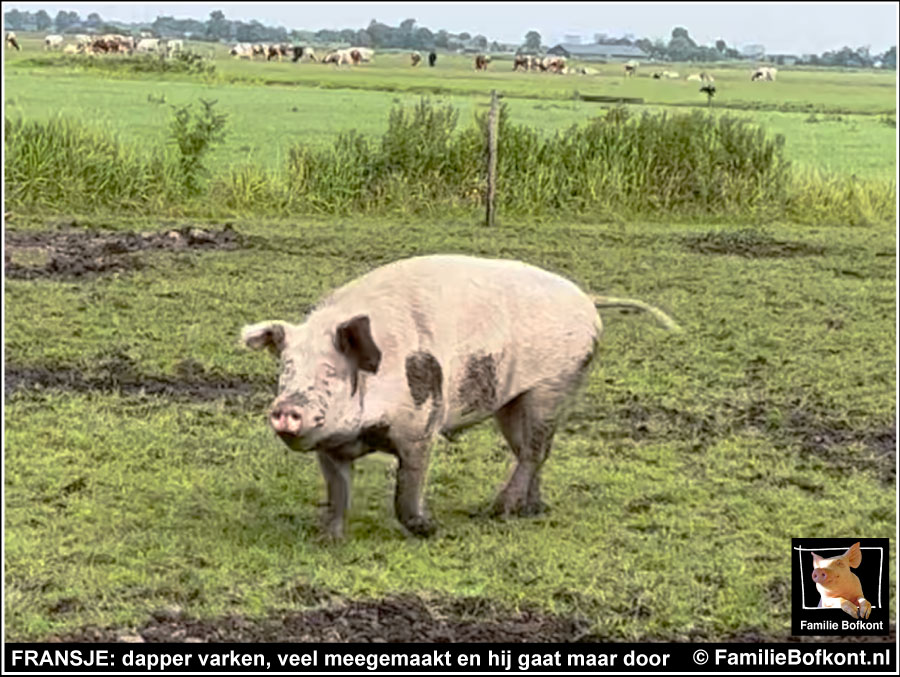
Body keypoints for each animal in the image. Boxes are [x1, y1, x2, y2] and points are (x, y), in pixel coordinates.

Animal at [243, 254, 680, 540]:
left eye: (330, 373)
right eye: (285, 369)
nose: (286, 409)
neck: (362, 432)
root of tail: (587, 298)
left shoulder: (422, 422)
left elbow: (408, 486)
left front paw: (429, 529)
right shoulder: (329, 446)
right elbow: (338, 493)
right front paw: (328, 539)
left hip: (553, 385)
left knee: (534, 450)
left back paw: (496, 512)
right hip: (511, 401)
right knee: (533, 451)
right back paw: (531, 510)